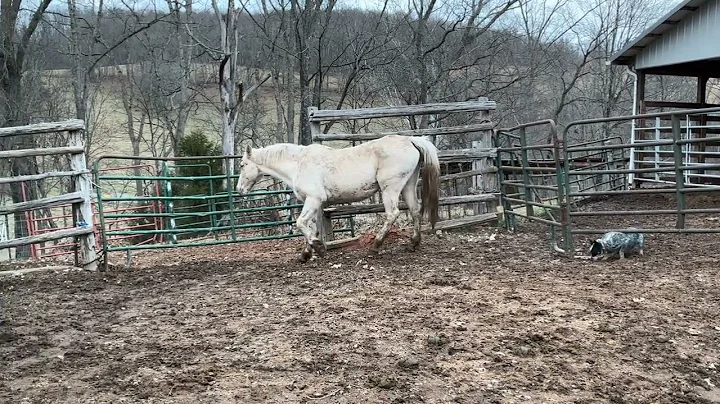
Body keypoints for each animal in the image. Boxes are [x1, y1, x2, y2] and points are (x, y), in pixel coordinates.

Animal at [236, 135, 441, 262]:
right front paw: (306, 254)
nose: (239, 190)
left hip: (390, 189)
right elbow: (311, 227)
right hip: (408, 186)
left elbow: (301, 223)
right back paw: (413, 244)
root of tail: (410, 140)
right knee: (415, 210)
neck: (299, 164)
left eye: (242, 165)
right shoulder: (313, 203)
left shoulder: (314, 199)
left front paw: (319, 248)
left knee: (392, 214)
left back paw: (375, 246)